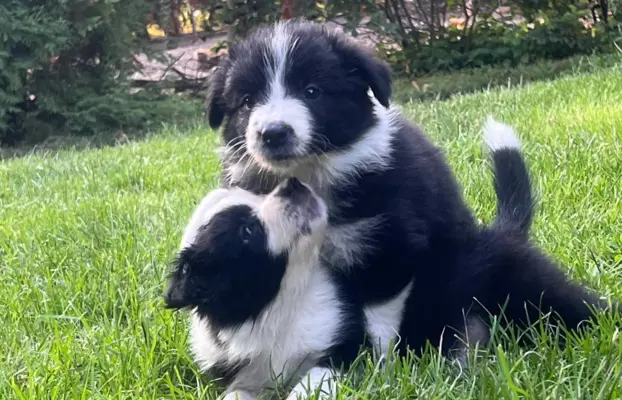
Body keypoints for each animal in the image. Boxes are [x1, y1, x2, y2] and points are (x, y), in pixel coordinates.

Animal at [163, 178, 368, 400]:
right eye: (247, 230)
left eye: (257, 195)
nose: (292, 183)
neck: (282, 304)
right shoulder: (244, 375)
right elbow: (234, 394)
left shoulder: (342, 348)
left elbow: (312, 381)